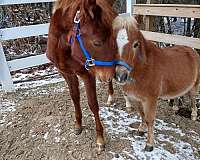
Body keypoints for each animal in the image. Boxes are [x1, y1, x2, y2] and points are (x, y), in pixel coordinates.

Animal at [46, 0, 118, 152]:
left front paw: (100, 138)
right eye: (97, 42)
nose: (110, 74)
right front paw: (78, 125)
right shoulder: (67, 74)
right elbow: (75, 97)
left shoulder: (87, 75)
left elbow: (93, 104)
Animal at [113, 15, 199, 152]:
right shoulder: (136, 98)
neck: (143, 68)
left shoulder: (150, 99)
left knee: (193, 99)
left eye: (136, 44)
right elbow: (141, 114)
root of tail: (192, 50)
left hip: (193, 87)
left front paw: (149, 144)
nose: (121, 76)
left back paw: (194, 116)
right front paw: (141, 130)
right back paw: (175, 107)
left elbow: (149, 119)